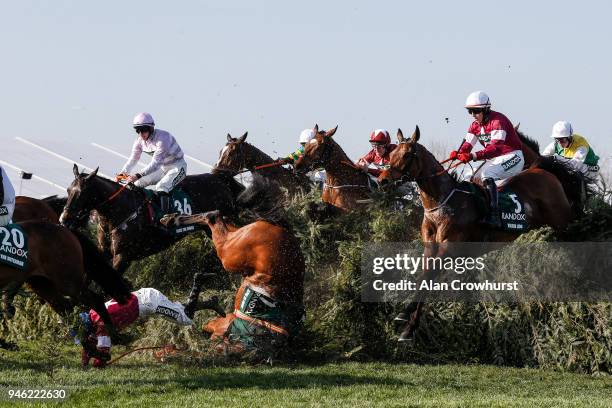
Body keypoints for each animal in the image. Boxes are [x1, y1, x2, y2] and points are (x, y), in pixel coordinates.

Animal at [59, 165, 244, 274]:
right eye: (68, 190)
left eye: (81, 193)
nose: (64, 220)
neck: (118, 213)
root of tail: (218, 178)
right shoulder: (104, 252)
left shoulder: (123, 256)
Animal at [161, 175, 304, 356]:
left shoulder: (223, 324)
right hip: (233, 244)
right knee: (216, 216)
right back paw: (172, 219)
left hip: (229, 250)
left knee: (214, 217)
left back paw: (173, 219)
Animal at [378, 126, 584, 342]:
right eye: (391, 154)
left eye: (407, 154)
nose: (382, 181)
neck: (442, 204)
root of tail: (544, 171)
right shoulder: (430, 248)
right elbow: (424, 277)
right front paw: (407, 320)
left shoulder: (449, 249)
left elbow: (428, 279)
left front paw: (407, 320)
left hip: (562, 223)